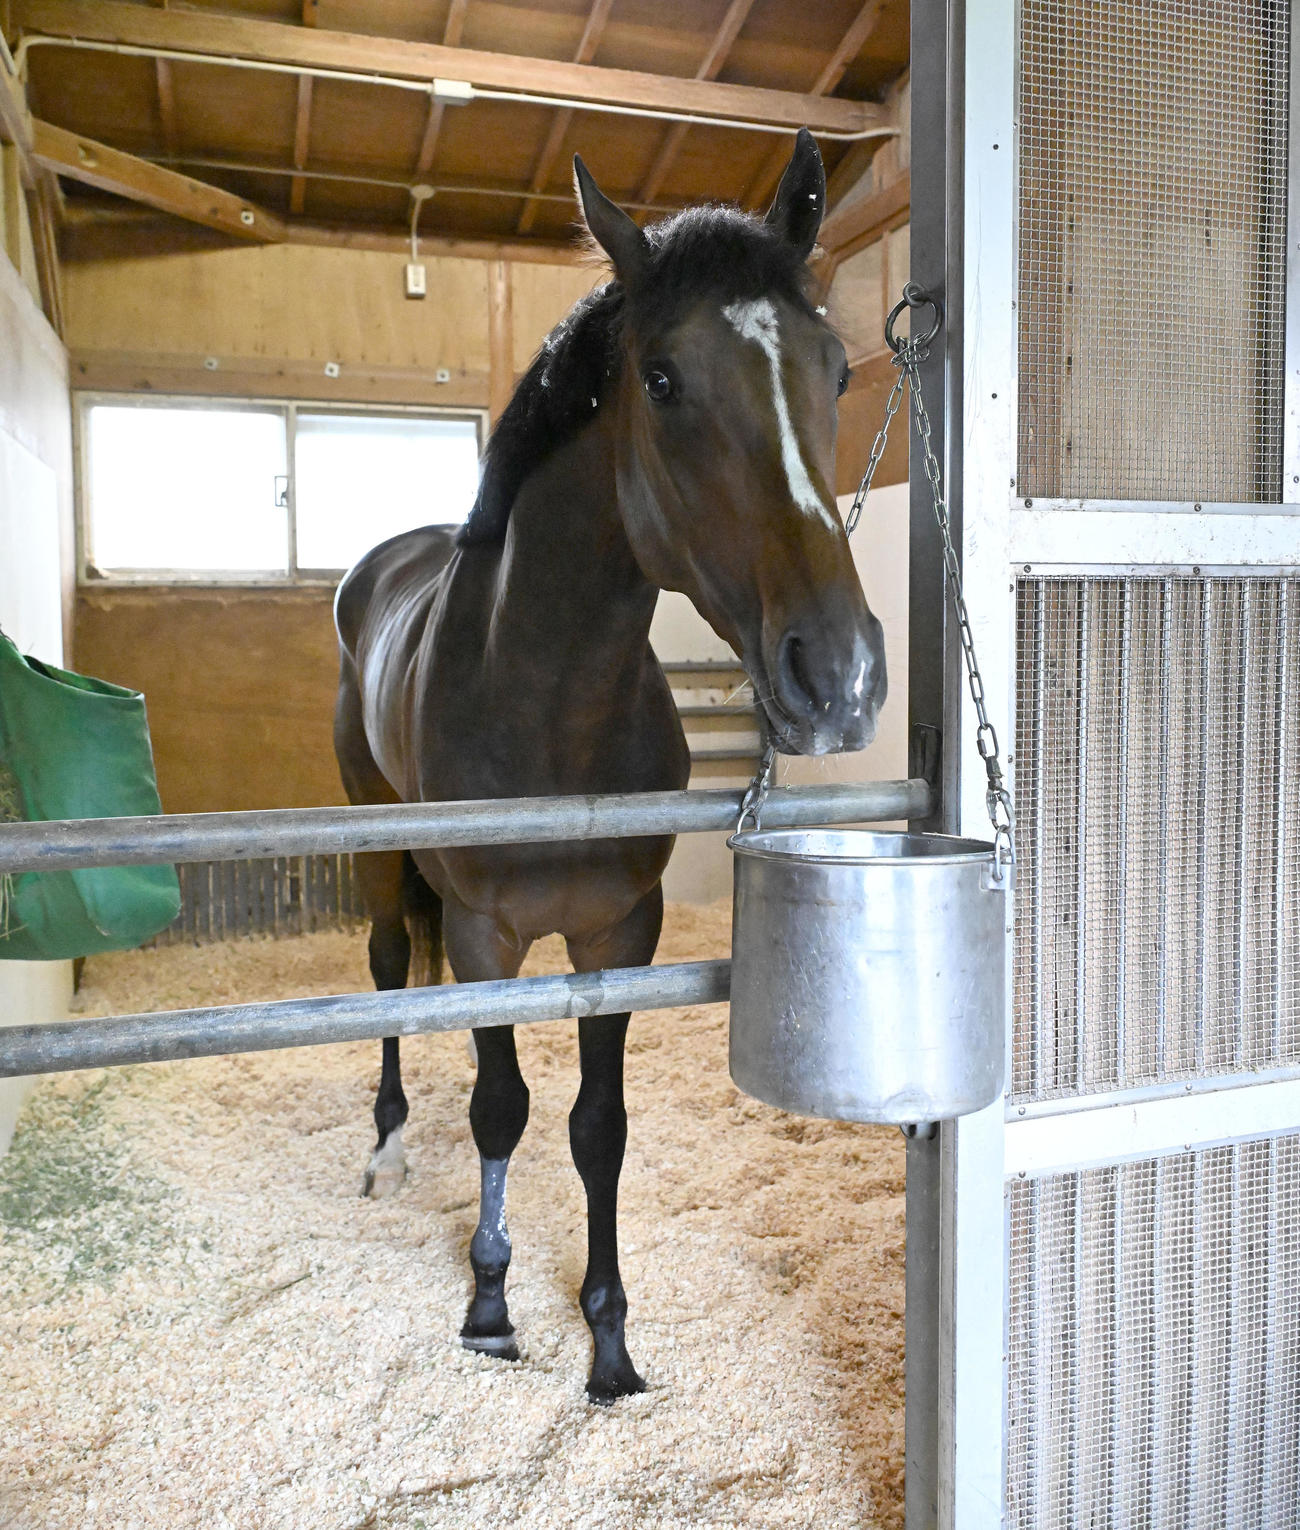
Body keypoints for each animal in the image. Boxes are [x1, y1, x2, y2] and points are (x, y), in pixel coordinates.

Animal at [332, 128, 887, 1404]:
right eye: (666, 380)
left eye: (836, 372)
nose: (836, 674)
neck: (546, 705)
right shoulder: (484, 936)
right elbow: (500, 1107)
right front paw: (490, 1303)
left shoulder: (619, 935)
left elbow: (598, 1127)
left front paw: (608, 1336)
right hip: (377, 840)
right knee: (386, 971)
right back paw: (387, 1146)